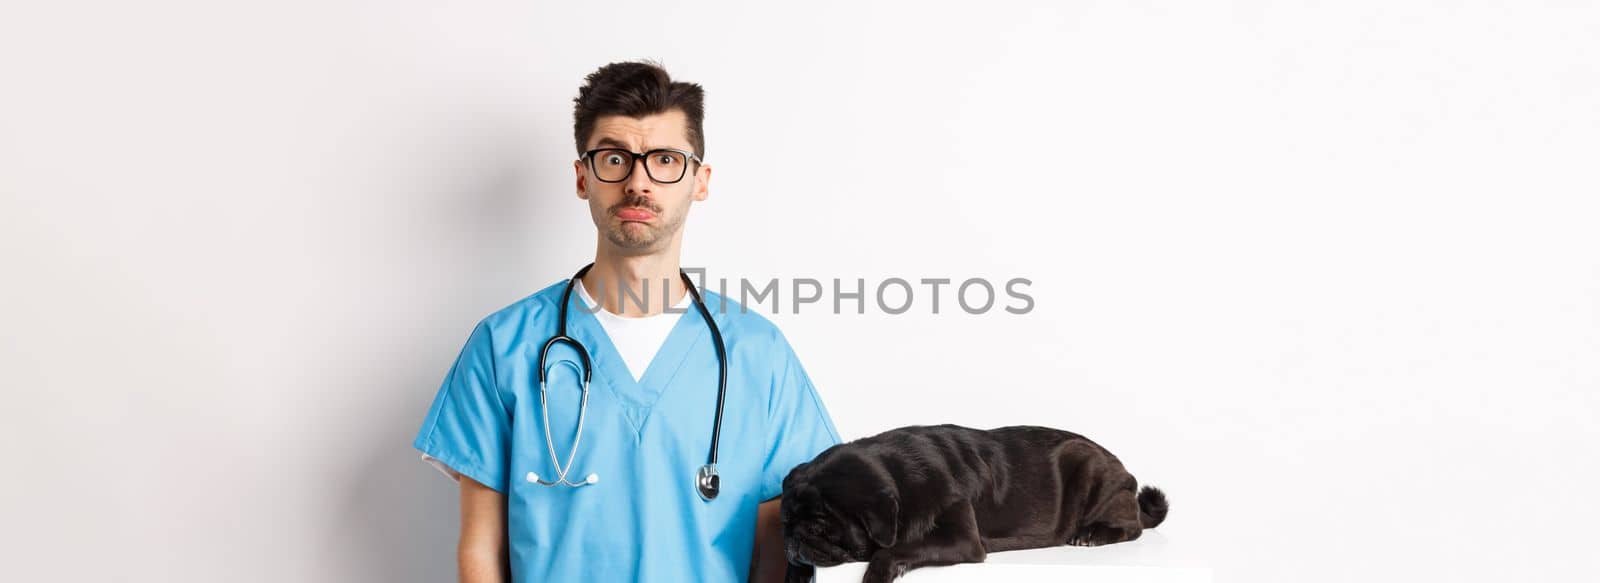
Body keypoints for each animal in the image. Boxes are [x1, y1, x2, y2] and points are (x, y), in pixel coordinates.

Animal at [774, 422, 1164, 583]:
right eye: (785, 522)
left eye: (819, 527)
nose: (792, 538)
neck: (895, 476)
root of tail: (1125, 474)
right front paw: (794, 572)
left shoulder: (960, 540)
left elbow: (892, 551)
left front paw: (877, 574)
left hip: (1090, 468)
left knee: (1133, 526)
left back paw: (1094, 533)